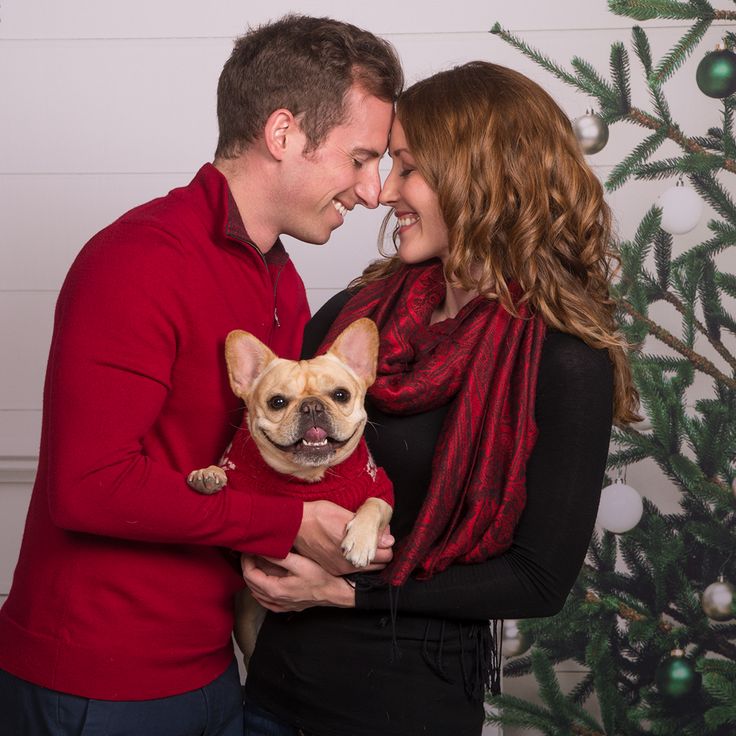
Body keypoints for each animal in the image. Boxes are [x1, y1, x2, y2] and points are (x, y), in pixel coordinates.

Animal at [187, 320, 394, 664]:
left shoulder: (381, 488)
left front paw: (360, 540)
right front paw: (209, 474)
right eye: (278, 402)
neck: (309, 476)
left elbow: (375, 504)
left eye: (341, 395)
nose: (311, 406)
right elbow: (224, 474)